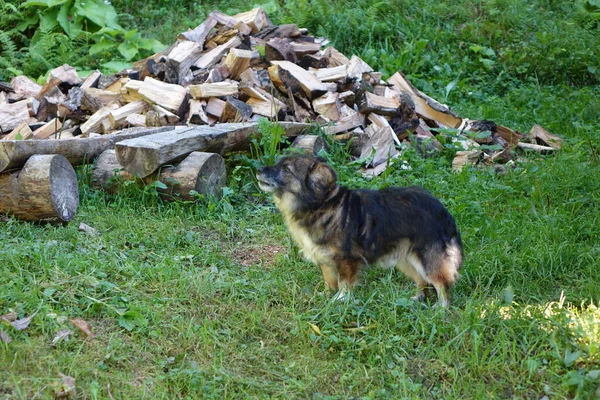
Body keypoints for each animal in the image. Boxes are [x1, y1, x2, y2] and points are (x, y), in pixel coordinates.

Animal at [255, 156, 462, 306]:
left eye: (286, 169)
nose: (258, 170)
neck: (319, 207)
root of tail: (442, 210)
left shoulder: (347, 260)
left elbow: (344, 284)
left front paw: (340, 300)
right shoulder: (325, 260)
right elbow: (329, 281)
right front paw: (326, 296)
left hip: (428, 259)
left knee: (441, 283)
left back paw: (441, 308)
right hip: (406, 259)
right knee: (422, 280)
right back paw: (418, 298)